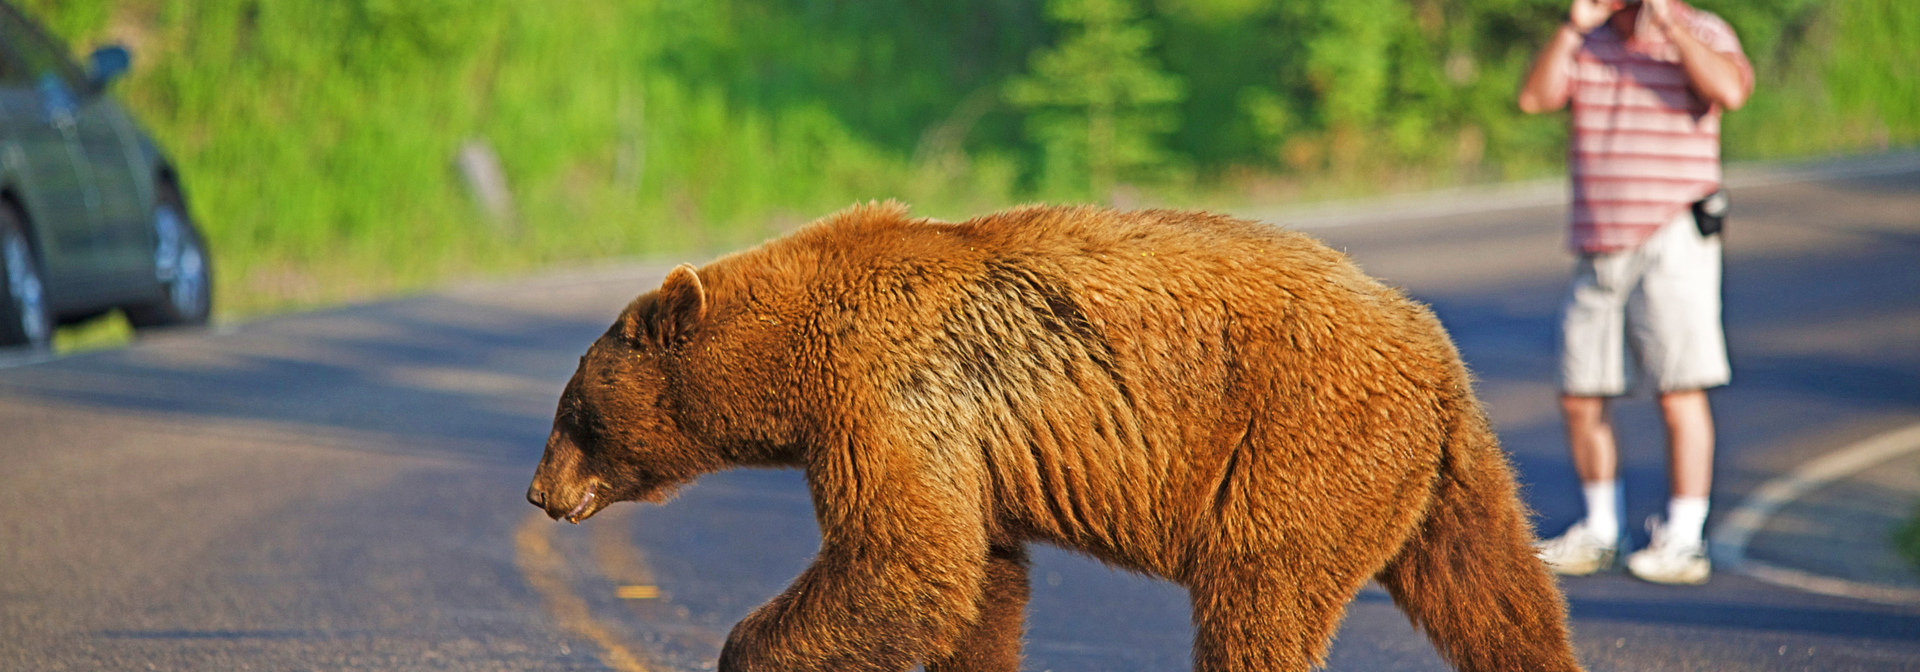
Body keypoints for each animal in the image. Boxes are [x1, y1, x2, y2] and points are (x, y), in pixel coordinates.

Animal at [522, 203, 1574, 672]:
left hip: (1302, 441)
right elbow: (978, 578)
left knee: (1259, 600)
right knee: (1496, 598)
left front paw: (747, 647)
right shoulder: (961, 446)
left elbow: (901, 559)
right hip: (1440, 480)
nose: (538, 492)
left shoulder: (891, 398)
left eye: (573, 415)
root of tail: (1438, 360)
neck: (793, 364)